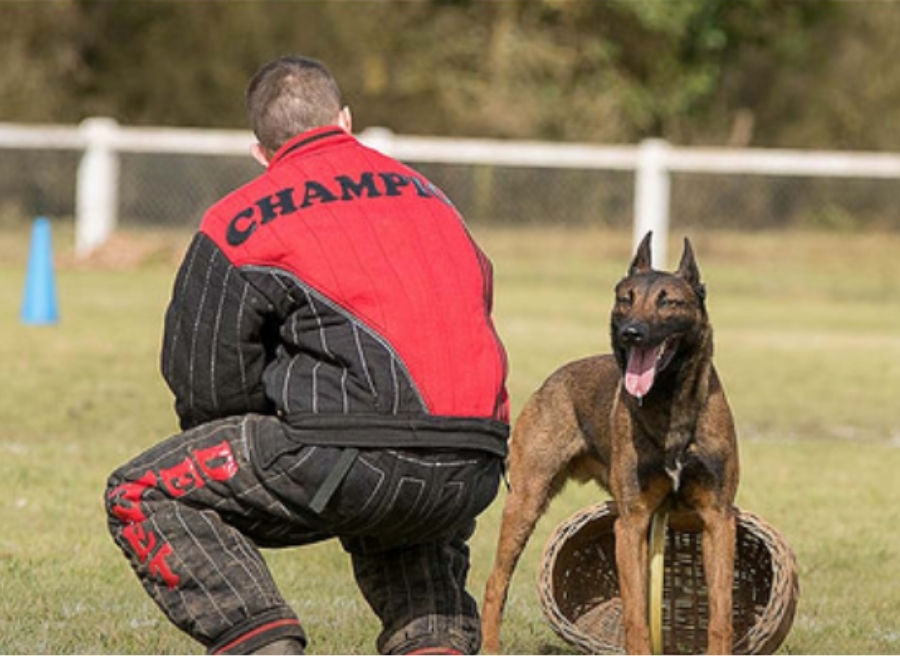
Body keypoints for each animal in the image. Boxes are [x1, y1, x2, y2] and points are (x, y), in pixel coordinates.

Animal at [478, 233, 740, 652]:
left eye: (668, 301)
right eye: (625, 298)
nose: (630, 332)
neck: (670, 406)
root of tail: (553, 379)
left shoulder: (717, 520)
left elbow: (720, 615)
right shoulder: (631, 523)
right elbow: (635, 617)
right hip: (525, 502)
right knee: (495, 583)